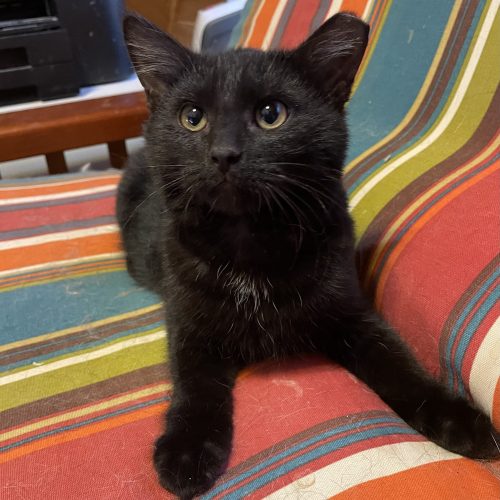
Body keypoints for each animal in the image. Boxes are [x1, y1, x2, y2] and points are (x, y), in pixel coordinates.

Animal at [117, 12, 499, 499]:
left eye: (271, 115)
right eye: (193, 117)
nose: (223, 153)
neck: (249, 242)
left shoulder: (352, 312)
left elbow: (397, 362)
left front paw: (459, 419)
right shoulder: (188, 321)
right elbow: (194, 381)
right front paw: (186, 450)